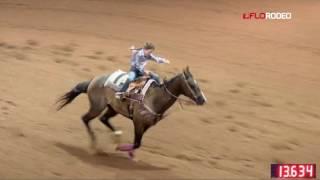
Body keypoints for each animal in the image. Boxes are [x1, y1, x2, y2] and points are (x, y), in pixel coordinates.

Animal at [57, 66, 208, 158]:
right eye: (192, 85)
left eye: (198, 84)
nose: (202, 100)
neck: (155, 97)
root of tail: (93, 81)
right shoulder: (138, 122)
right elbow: (137, 143)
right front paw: (122, 149)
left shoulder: (147, 125)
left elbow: (138, 144)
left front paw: (129, 152)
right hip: (96, 107)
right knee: (85, 118)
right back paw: (94, 145)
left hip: (113, 108)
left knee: (103, 119)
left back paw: (116, 135)